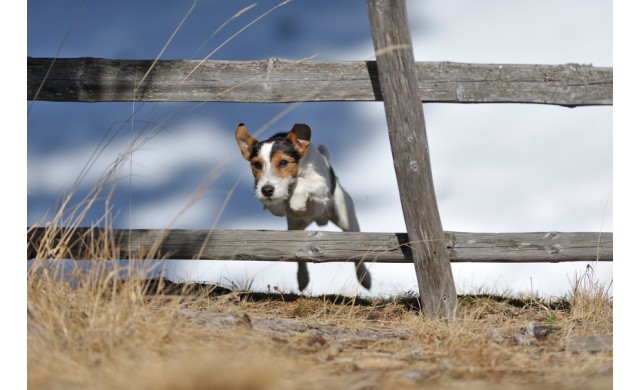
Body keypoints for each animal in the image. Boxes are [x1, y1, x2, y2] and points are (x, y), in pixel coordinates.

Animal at [236, 123, 372, 290]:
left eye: (283, 162)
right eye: (256, 164)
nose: (267, 190)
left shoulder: (321, 185)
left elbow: (302, 183)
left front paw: (296, 202)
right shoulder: (257, 186)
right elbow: (269, 199)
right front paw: (278, 206)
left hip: (346, 219)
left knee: (358, 250)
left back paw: (364, 278)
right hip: (295, 228)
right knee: (299, 252)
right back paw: (302, 278)